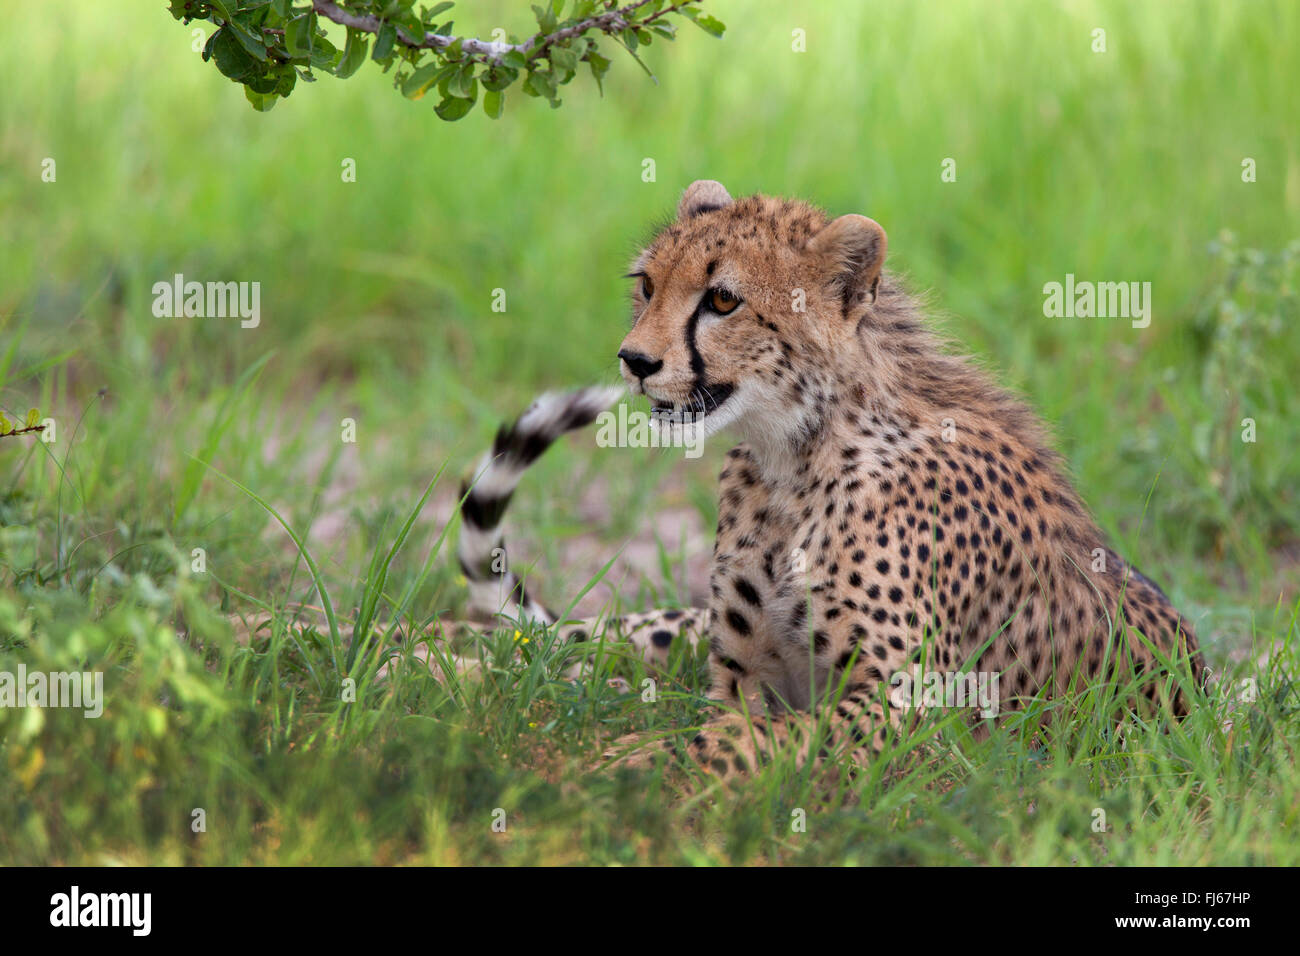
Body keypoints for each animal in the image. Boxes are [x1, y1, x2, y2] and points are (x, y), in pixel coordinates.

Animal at [444, 179, 1196, 780]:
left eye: (722, 300)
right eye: (648, 285)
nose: (634, 360)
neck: (794, 459)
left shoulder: (913, 703)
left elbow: (751, 738)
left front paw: (622, 760)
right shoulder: (740, 677)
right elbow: (730, 725)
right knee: (558, 637)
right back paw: (434, 660)